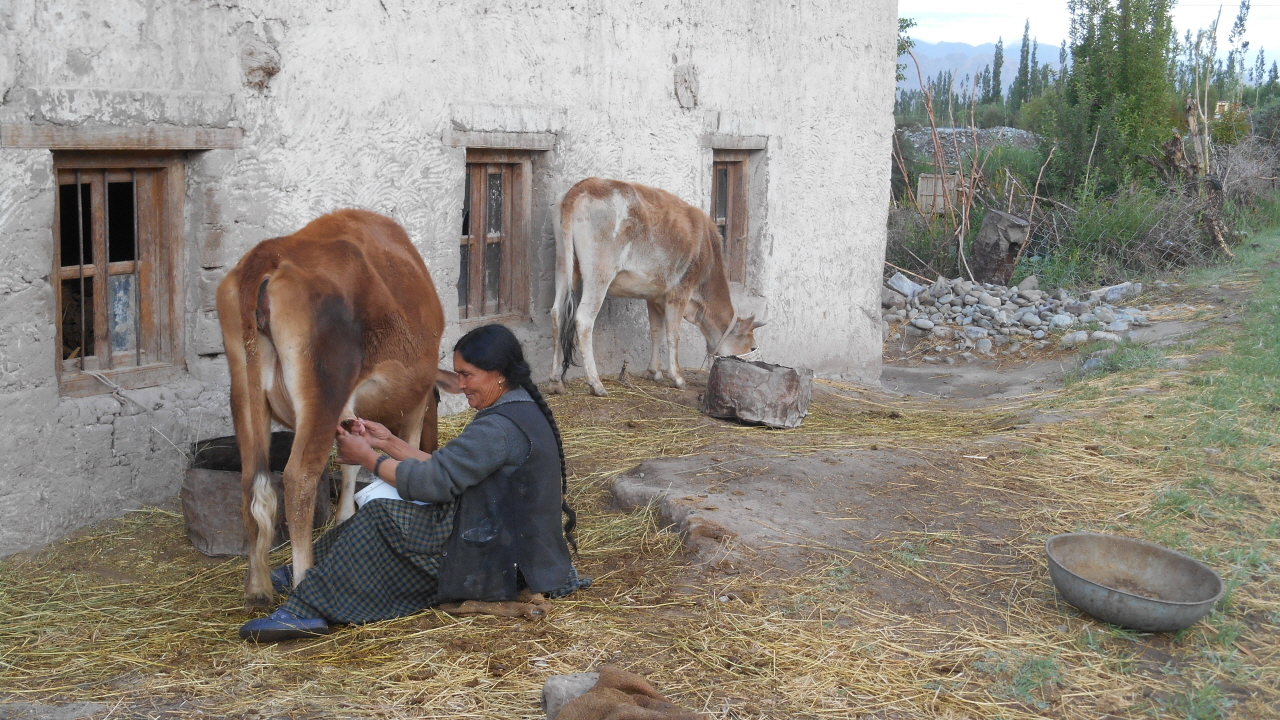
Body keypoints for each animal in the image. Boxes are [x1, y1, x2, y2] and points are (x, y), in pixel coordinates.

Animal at [212, 207, 448, 604]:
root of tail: (270, 252)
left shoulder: (350, 413)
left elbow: (351, 462)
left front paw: (344, 517)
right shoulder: (414, 401)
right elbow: (401, 449)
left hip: (243, 389)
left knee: (251, 479)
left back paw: (257, 587)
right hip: (322, 392)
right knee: (298, 478)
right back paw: (302, 580)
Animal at [547, 176, 757, 394]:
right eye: (751, 347)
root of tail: (584, 185)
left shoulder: (654, 295)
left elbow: (656, 331)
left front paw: (654, 372)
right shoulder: (680, 291)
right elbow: (673, 334)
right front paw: (677, 378)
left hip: (563, 264)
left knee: (557, 313)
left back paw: (555, 381)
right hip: (599, 273)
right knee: (584, 320)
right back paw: (596, 384)